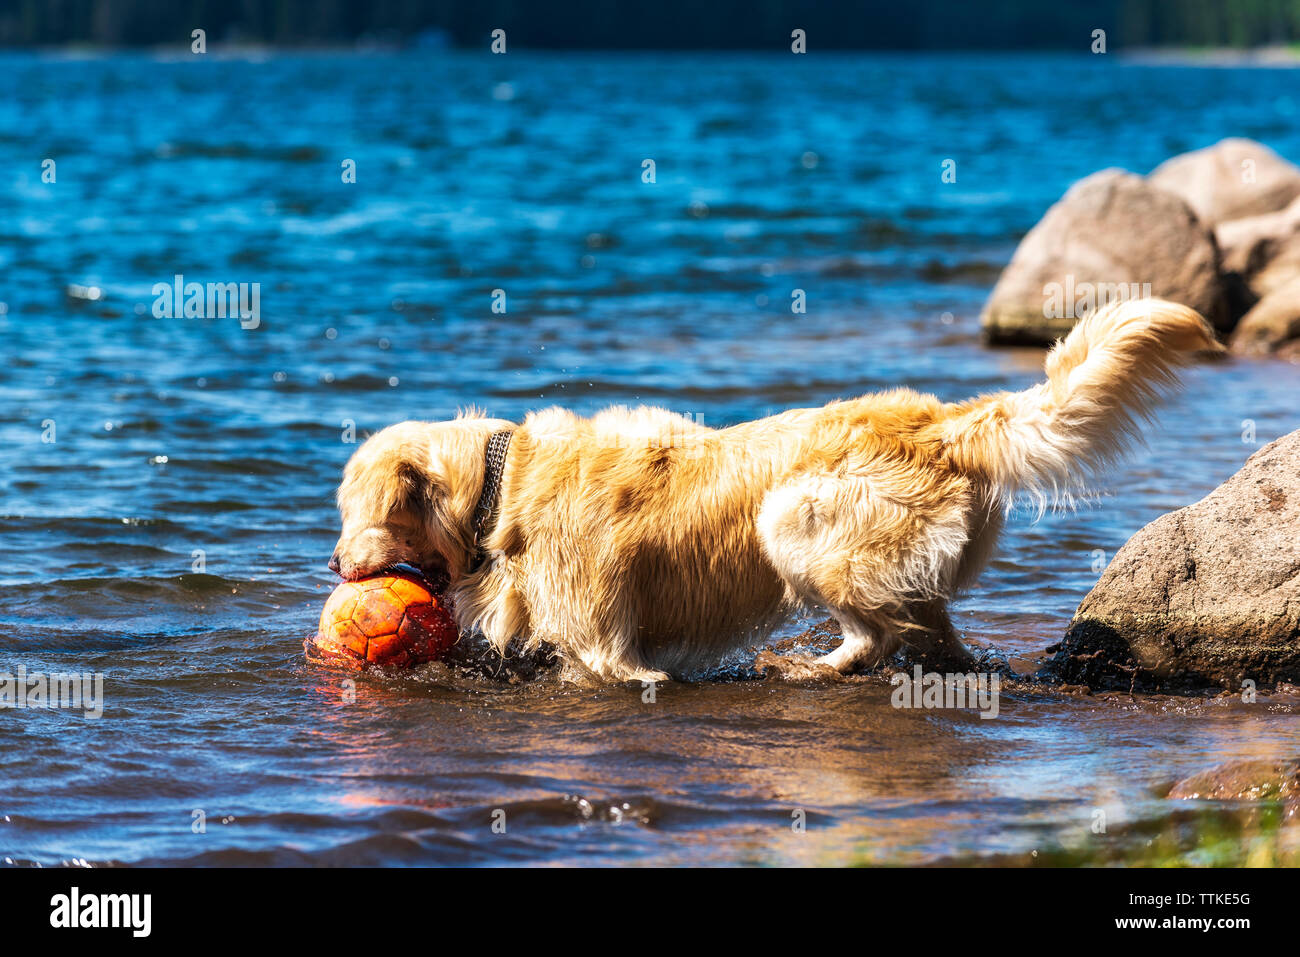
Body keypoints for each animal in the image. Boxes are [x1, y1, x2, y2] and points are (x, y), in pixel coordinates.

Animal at [332, 299, 1216, 681]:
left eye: (357, 516)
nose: (334, 565)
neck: (500, 483)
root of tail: (942, 420)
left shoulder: (602, 638)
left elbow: (617, 669)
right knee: (930, 629)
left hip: (792, 516)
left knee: (880, 631)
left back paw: (814, 666)